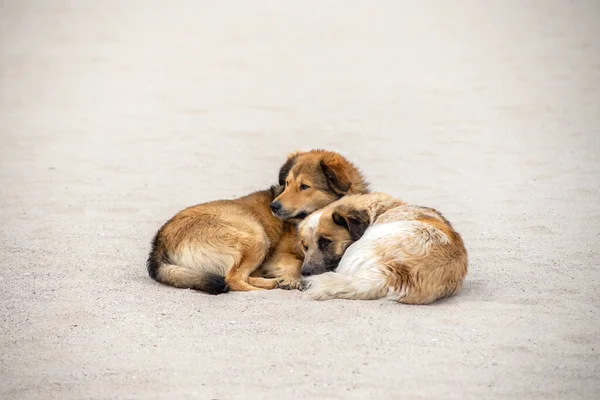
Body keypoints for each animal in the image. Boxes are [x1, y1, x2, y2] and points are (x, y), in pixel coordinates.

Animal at [146, 150, 370, 294]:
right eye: (287, 183)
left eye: (304, 186)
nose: (274, 206)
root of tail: (159, 241)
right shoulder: (280, 254)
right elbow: (298, 263)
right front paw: (293, 278)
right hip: (257, 236)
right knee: (233, 279)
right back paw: (268, 287)